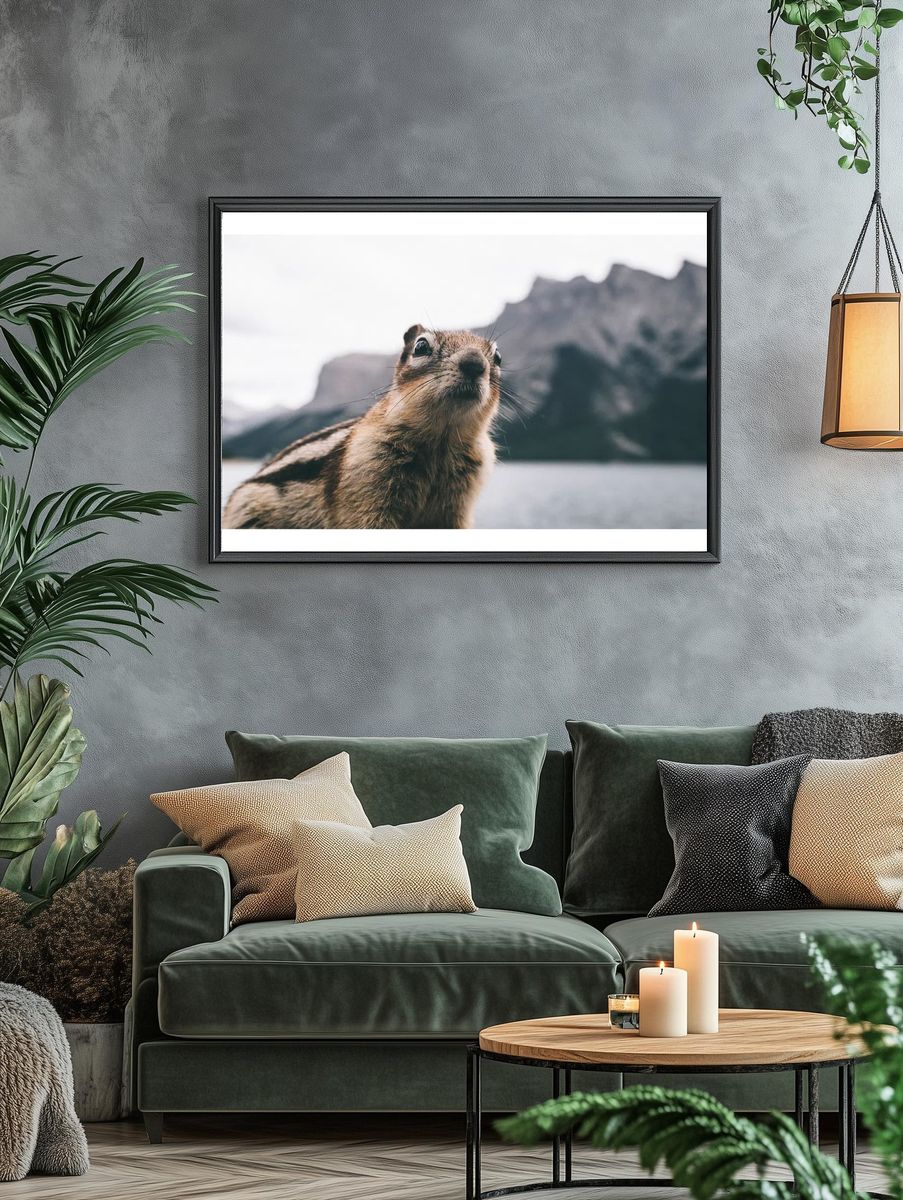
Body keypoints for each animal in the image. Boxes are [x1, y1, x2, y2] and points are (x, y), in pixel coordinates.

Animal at [223, 325, 502, 530]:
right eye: (421, 346)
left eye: (498, 357)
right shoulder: (365, 483)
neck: (442, 440)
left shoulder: (457, 507)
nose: (475, 363)